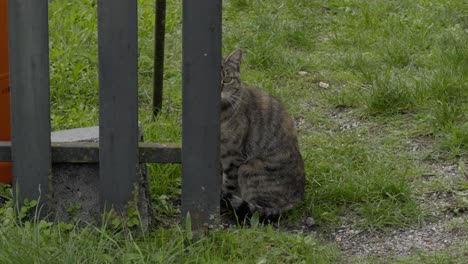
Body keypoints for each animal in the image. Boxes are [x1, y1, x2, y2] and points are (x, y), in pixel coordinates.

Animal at [220, 49, 306, 221]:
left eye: (227, 79)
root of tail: (297, 198)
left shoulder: (232, 156)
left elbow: (229, 183)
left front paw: (224, 198)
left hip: (250, 168)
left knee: (259, 212)